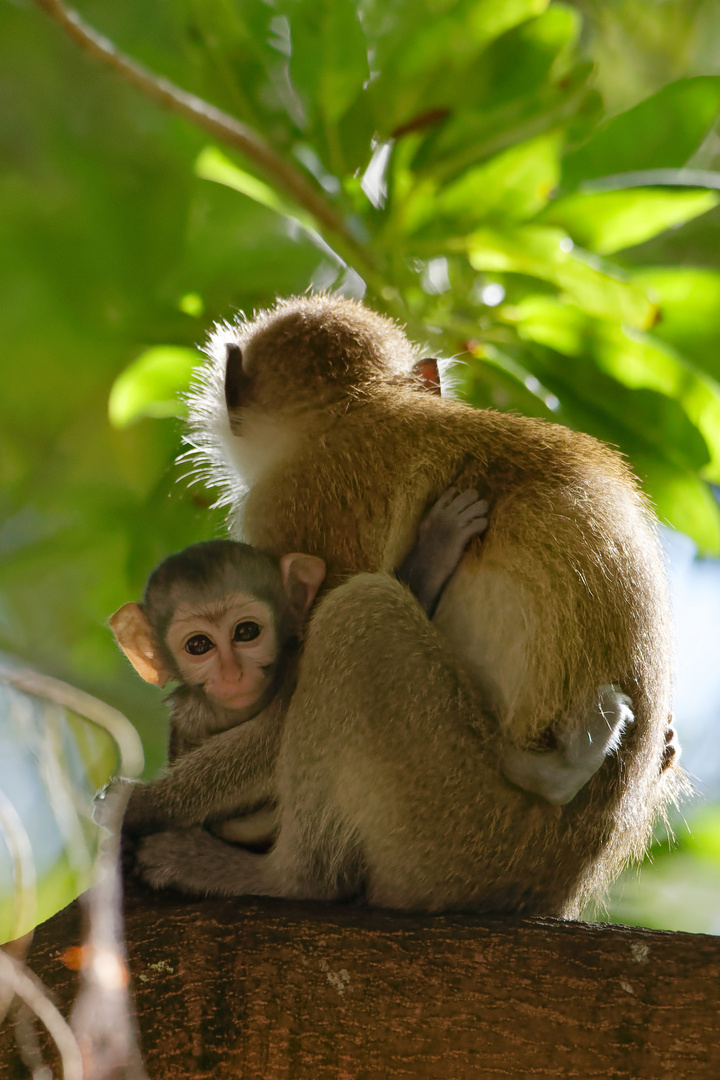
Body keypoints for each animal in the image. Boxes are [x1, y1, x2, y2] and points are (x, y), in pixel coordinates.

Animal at [139, 293, 682, 911]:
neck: (357, 409)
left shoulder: (289, 504)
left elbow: (279, 712)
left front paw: (137, 806)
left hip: (449, 830)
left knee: (358, 615)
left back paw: (282, 878)